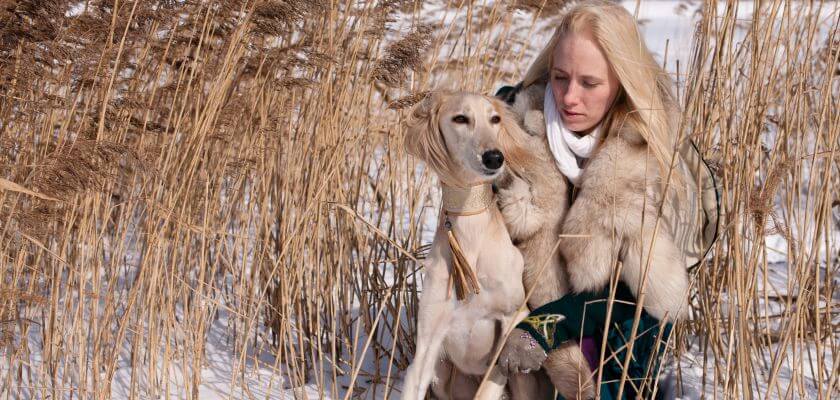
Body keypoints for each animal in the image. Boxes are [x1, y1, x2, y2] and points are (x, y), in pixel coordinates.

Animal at [404, 92, 540, 398]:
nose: (494, 157)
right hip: (443, 374)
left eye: (495, 119)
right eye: (460, 118)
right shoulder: (428, 342)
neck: (471, 242)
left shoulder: (512, 323)